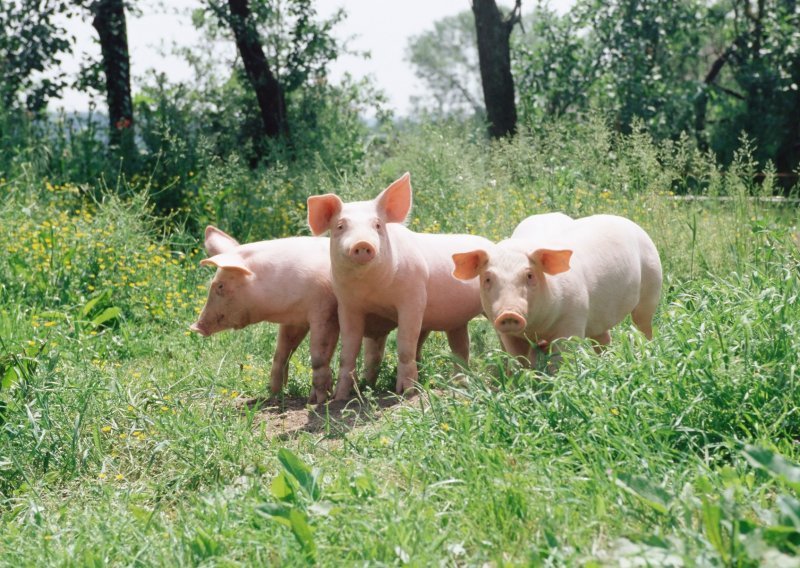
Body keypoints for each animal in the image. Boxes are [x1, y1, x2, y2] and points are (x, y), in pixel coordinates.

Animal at [191, 226, 340, 404]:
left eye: (220, 286)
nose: (195, 327)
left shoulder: (326, 310)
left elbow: (319, 355)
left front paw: (318, 400)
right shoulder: (296, 319)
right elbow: (282, 351)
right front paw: (274, 394)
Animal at [308, 173, 490, 400]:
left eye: (377, 225)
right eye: (340, 226)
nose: (362, 243)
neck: (372, 289)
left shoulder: (413, 299)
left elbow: (405, 346)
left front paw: (407, 392)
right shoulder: (347, 306)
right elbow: (348, 352)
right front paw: (340, 397)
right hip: (457, 321)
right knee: (461, 347)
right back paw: (458, 384)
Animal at [450, 213, 664, 364]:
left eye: (530, 275)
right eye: (488, 278)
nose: (509, 314)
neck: (536, 328)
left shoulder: (572, 320)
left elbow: (560, 359)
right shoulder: (508, 335)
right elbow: (520, 362)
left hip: (652, 285)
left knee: (644, 324)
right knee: (603, 337)